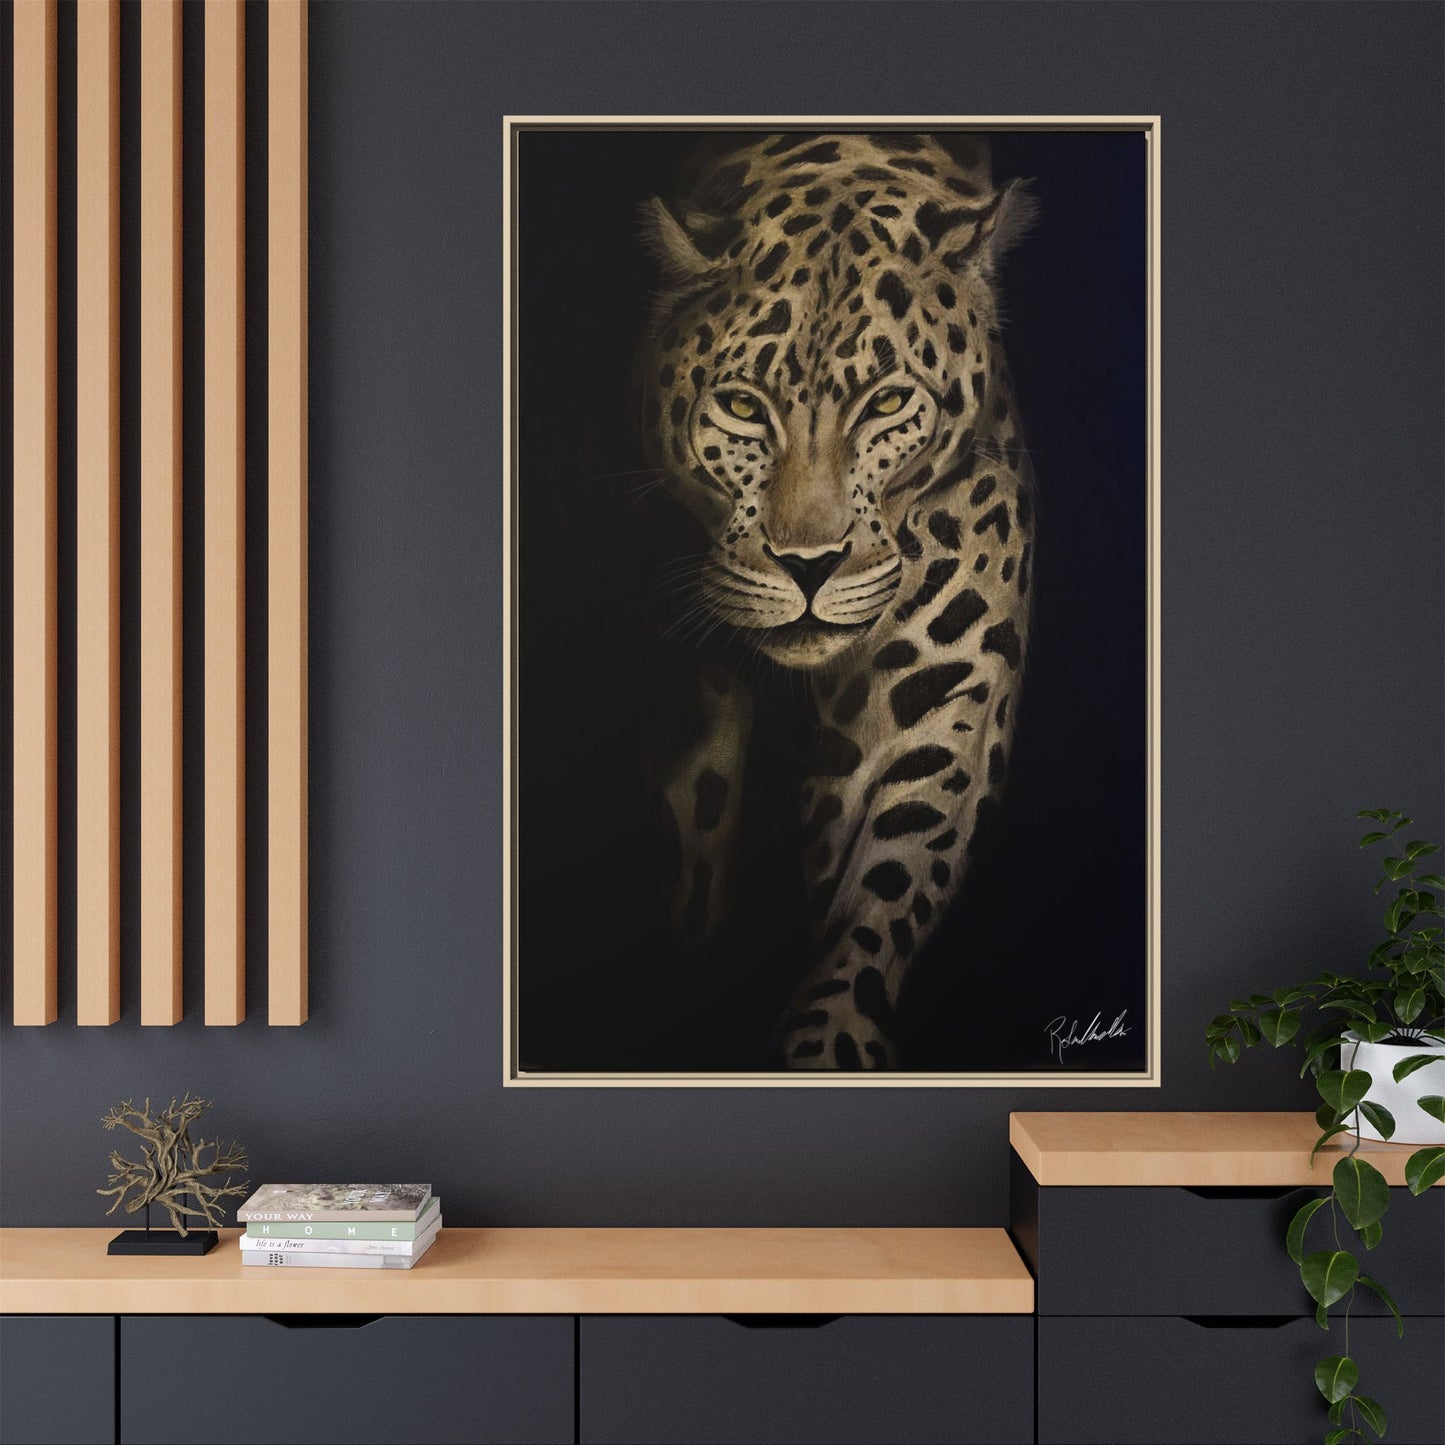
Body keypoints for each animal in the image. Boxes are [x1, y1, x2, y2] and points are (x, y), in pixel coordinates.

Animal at [635, 132, 1036, 1070]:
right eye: (741, 406)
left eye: (887, 402)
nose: (807, 566)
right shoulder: (691, 717)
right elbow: (694, 858)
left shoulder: (938, 698)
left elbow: (883, 889)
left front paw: (827, 1043)